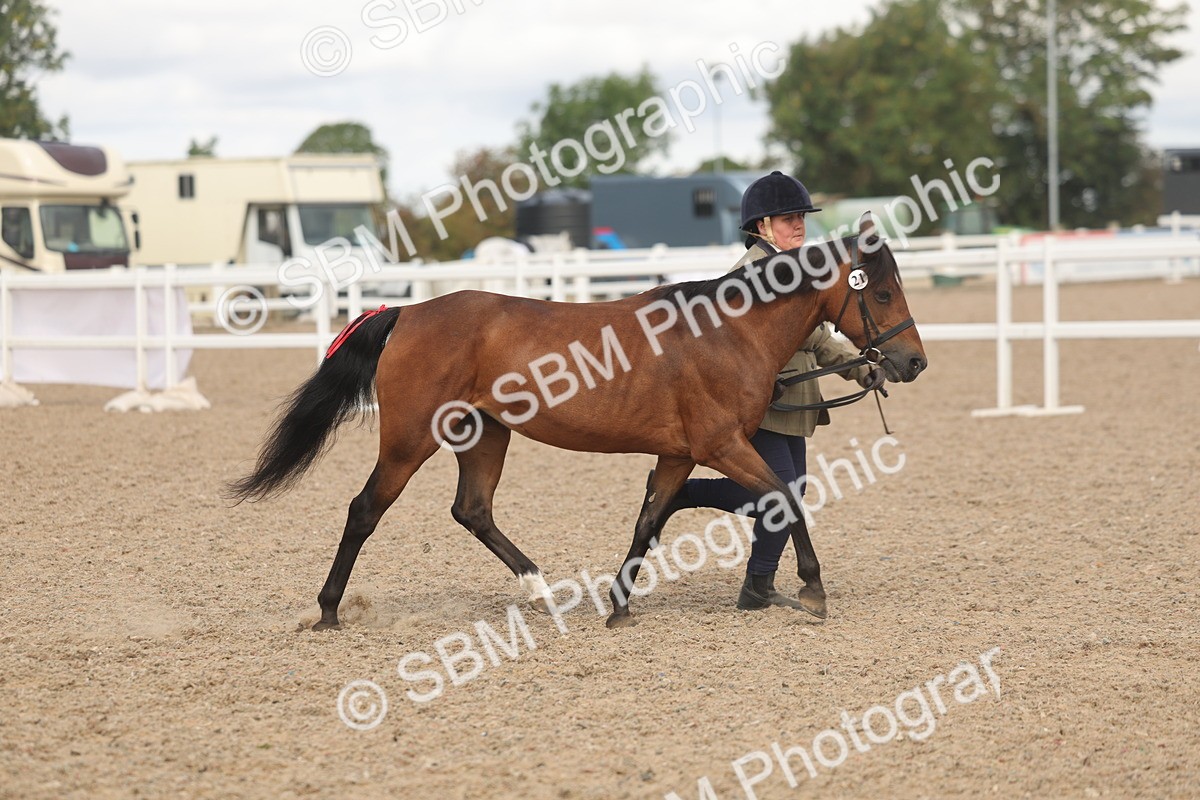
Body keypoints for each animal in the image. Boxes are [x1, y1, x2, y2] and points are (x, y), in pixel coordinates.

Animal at [227, 213, 927, 630]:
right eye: (882, 290)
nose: (911, 361)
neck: (727, 331)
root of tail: (409, 311)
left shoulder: (681, 453)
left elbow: (650, 518)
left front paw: (618, 608)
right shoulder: (722, 445)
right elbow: (785, 497)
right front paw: (812, 590)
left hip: (484, 435)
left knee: (472, 510)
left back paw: (542, 590)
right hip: (408, 440)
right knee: (364, 510)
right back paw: (328, 612)